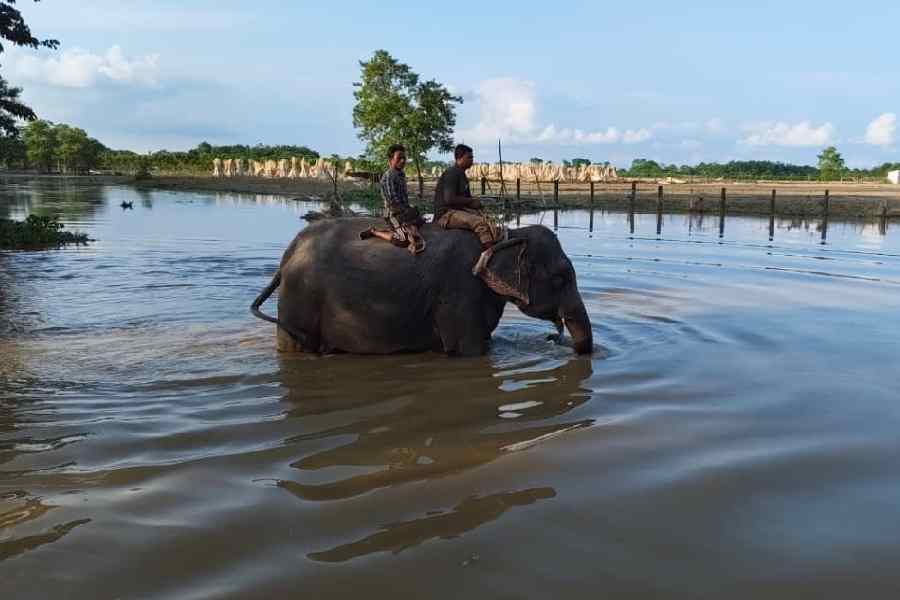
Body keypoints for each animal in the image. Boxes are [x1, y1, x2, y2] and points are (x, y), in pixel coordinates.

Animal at [251, 217, 593, 356]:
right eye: (560, 279)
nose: (552, 337)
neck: (506, 235)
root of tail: (288, 255)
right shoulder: (460, 289)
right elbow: (470, 349)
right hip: (300, 299)